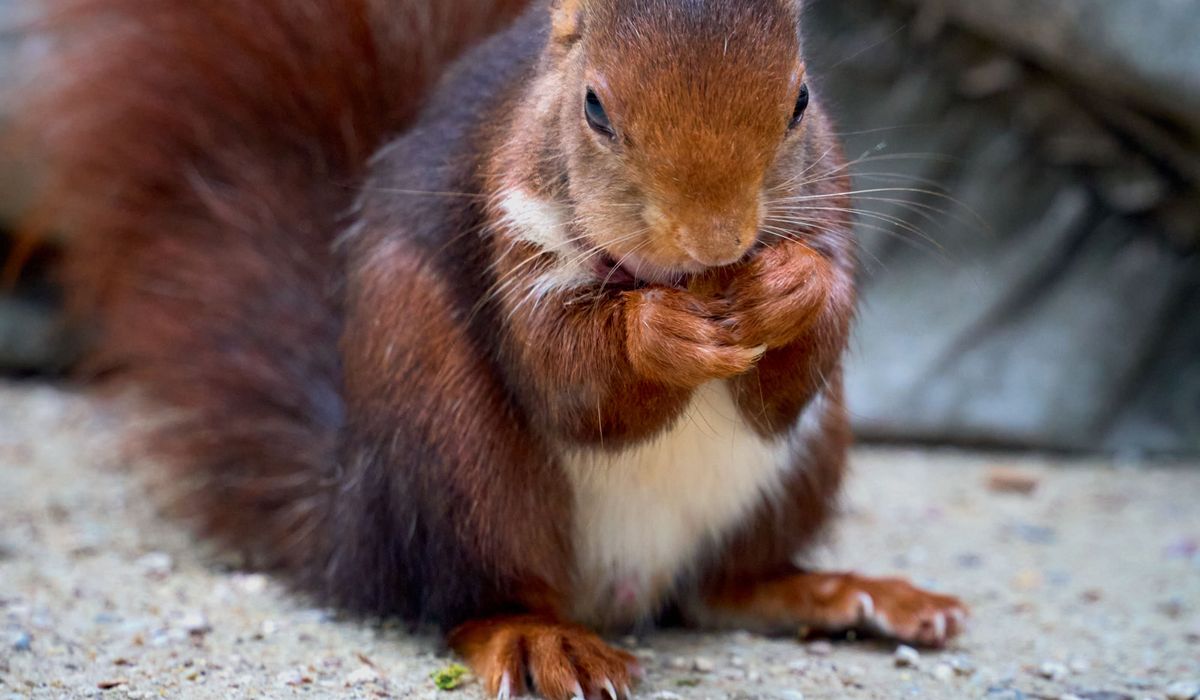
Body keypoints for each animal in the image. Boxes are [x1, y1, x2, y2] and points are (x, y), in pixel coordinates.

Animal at [24, 0, 967, 696]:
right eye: (595, 109)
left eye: (802, 100)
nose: (715, 239)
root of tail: (355, 518)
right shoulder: (502, 219)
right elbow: (567, 379)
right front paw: (658, 332)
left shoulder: (834, 198)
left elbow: (798, 366)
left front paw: (790, 288)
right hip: (457, 453)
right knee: (471, 594)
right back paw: (540, 638)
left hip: (809, 462)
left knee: (719, 589)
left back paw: (848, 593)